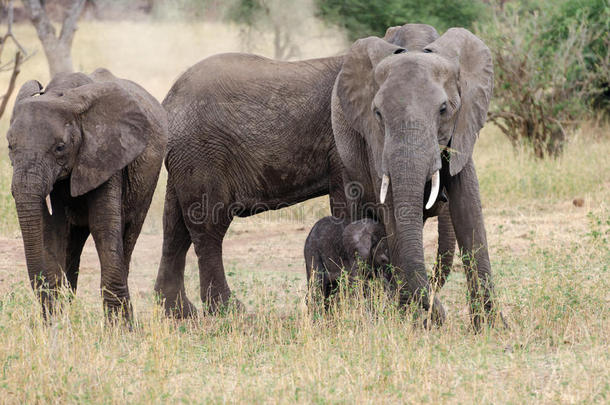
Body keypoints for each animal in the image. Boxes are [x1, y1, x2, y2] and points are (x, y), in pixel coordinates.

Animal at [7, 70, 169, 322]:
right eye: (9, 147)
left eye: (60, 148)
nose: (49, 316)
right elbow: (54, 229)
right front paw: (57, 323)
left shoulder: (106, 154)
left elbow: (103, 225)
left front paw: (121, 327)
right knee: (72, 242)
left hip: (147, 184)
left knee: (129, 233)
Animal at [153, 23, 452, 318]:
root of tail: (168, 100)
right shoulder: (343, 142)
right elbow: (351, 203)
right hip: (203, 153)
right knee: (208, 225)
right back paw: (229, 311)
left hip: (186, 157)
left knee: (174, 225)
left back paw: (179, 313)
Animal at [332, 23, 504, 330]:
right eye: (377, 113)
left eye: (444, 109)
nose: (439, 316)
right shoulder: (375, 141)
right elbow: (391, 211)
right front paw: (415, 322)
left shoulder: (464, 124)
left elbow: (468, 206)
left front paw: (492, 328)